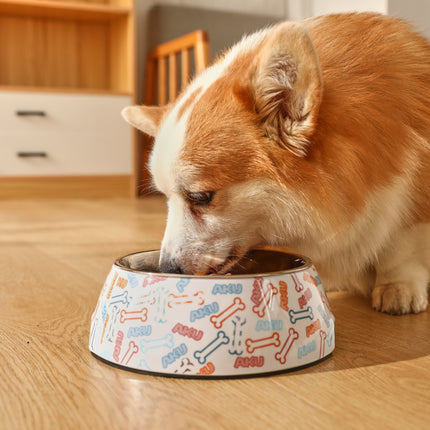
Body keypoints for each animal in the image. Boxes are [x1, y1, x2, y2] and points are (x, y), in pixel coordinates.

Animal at [122, 12, 430, 316]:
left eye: (201, 197)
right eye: (166, 198)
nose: (166, 269)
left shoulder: (412, 193)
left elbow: (402, 247)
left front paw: (397, 286)